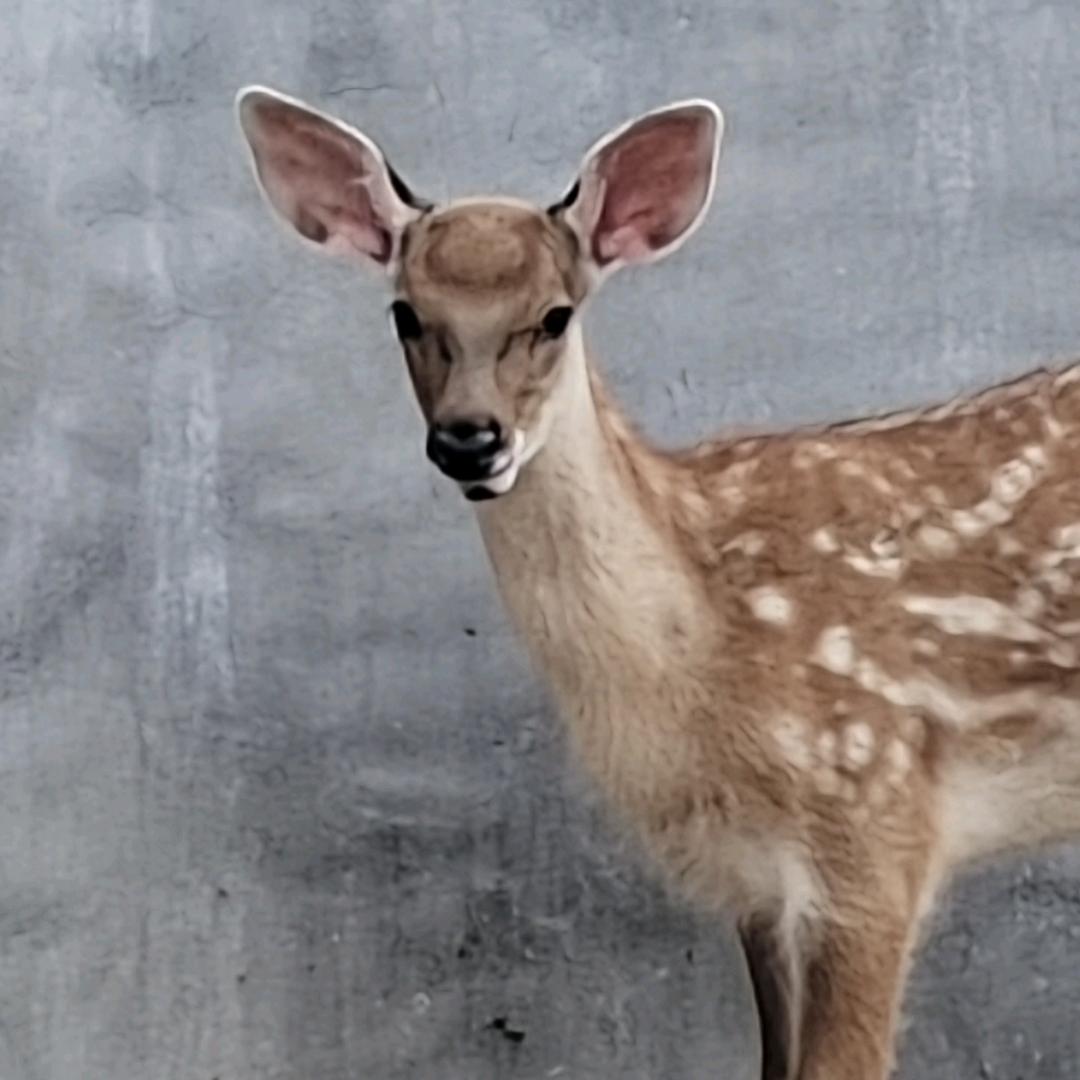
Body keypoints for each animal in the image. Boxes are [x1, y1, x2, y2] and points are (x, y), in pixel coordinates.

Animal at [234, 85, 1080, 1080]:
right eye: (405, 313)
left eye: (555, 315)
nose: (469, 440)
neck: (702, 656)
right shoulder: (750, 876)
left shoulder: (876, 809)